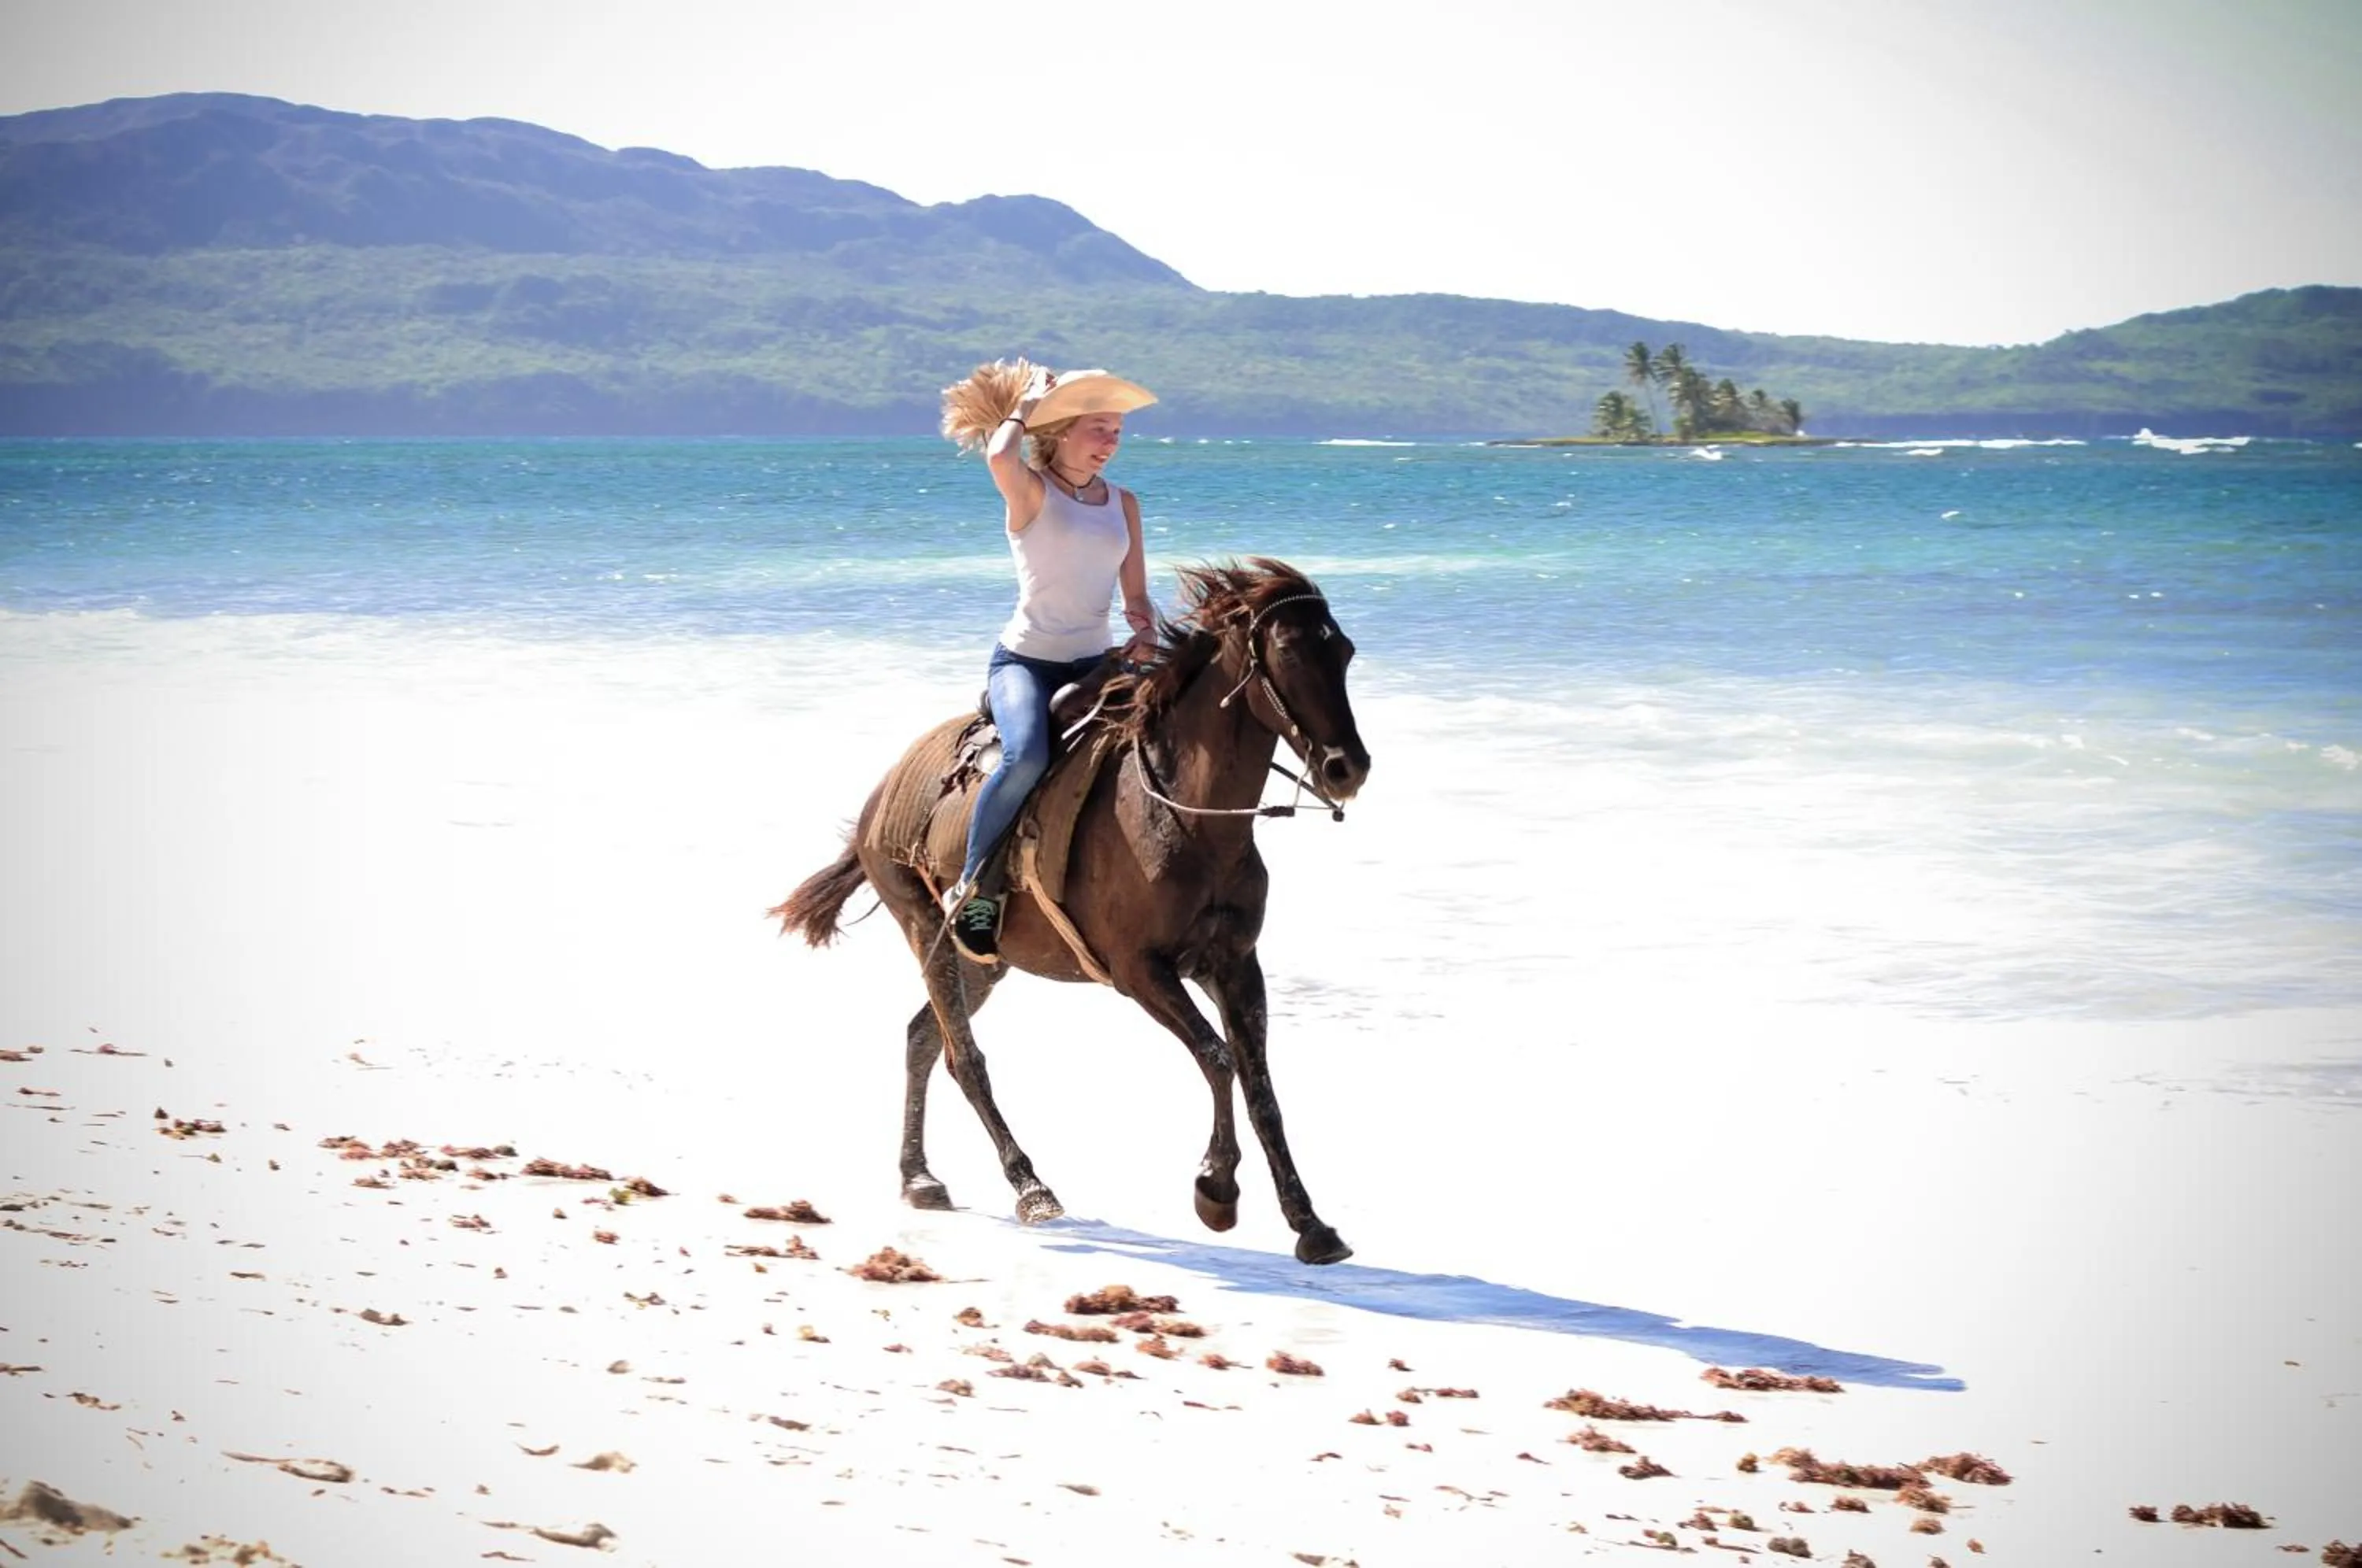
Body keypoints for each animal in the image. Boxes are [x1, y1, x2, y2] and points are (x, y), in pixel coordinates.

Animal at [768, 557, 1372, 1265]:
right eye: (1288, 652)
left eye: (1344, 651)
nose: (1348, 768)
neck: (1187, 819)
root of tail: (884, 791)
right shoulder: (1140, 971)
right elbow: (1219, 1059)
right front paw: (1216, 1190)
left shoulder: (1235, 965)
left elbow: (1261, 1088)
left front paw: (1310, 1224)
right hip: (925, 928)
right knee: (964, 1059)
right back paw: (1030, 1187)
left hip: (985, 961)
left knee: (921, 1038)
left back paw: (918, 1177)